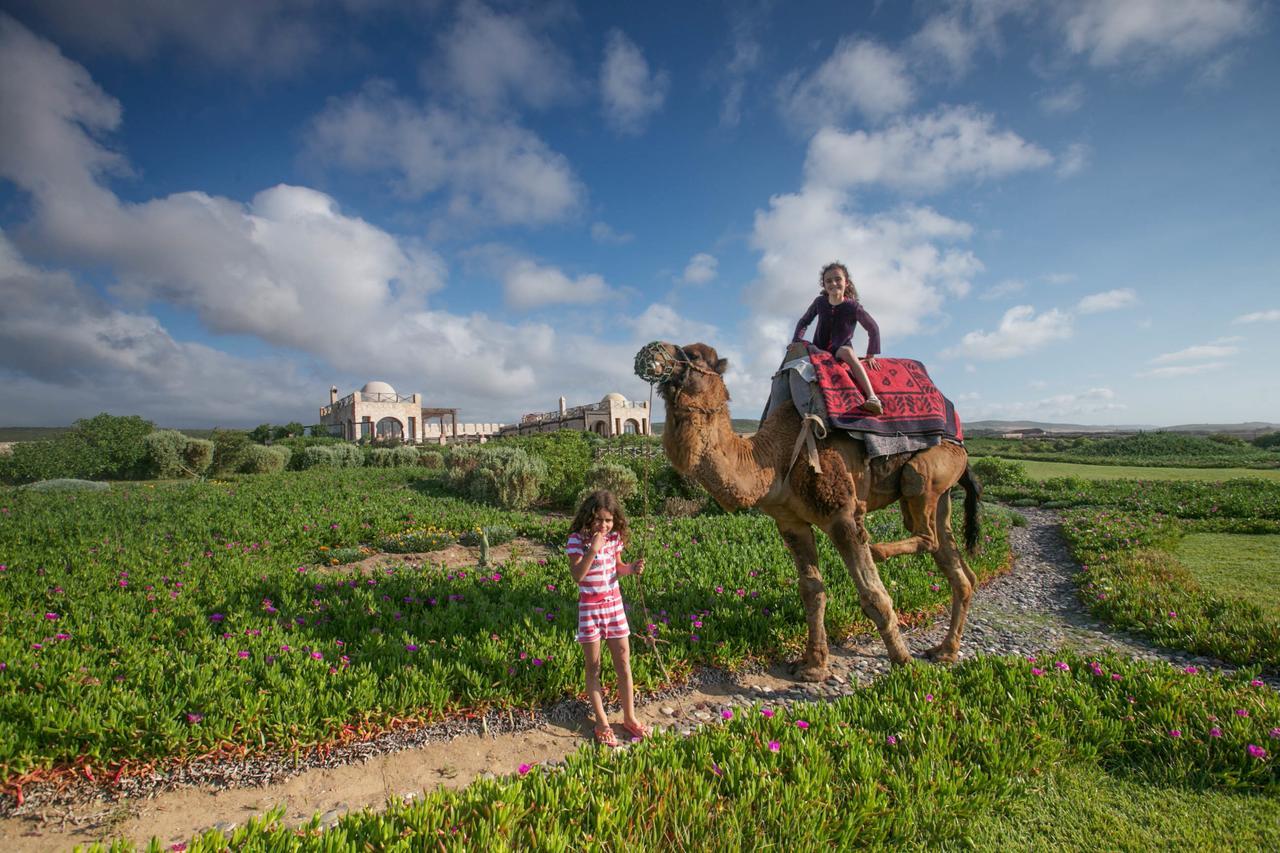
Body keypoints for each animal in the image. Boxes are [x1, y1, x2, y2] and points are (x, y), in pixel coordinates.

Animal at [645, 338, 983, 676]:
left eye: (694, 354)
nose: (653, 349)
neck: (773, 460)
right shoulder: (790, 522)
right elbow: (811, 590)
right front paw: (814, 665)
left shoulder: (843, 515)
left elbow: (874, 595)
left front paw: (904, 664)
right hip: (942, 492)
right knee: (954, 564)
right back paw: (946, 650)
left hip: (925, 469)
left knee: (926, 532)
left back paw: (880, 552)